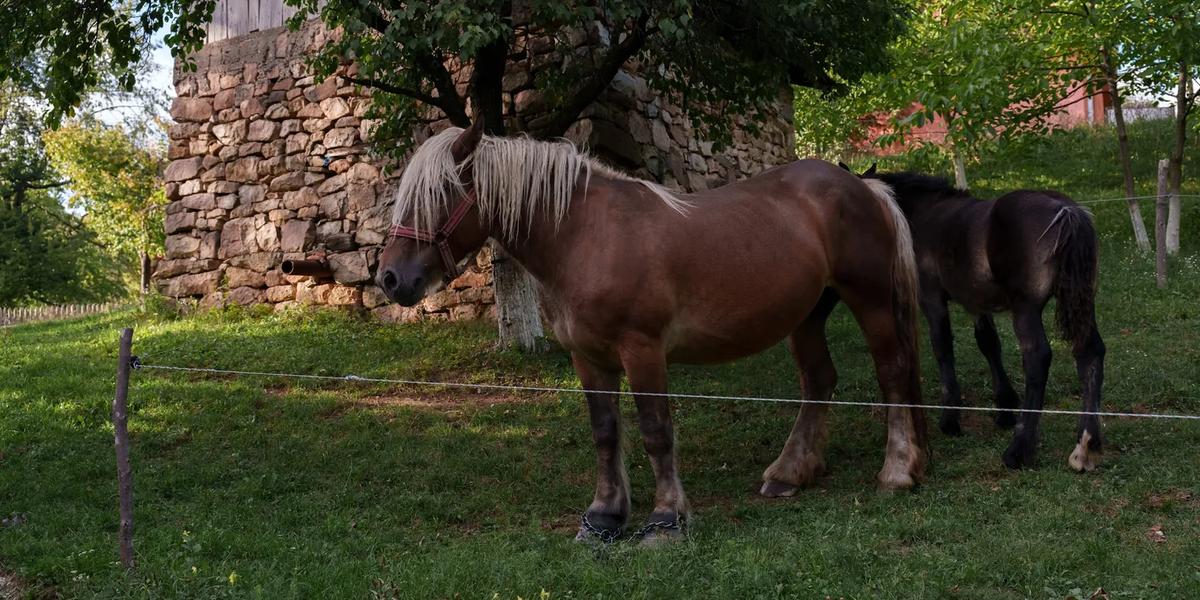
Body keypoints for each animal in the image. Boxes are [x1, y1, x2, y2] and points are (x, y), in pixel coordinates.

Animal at [375, 120, 929, 544]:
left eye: (442, 193)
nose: (391, 278)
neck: (583, 237)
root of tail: (864, 186)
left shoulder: (642, 351)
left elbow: (656, 432)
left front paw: (665, 519)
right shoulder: (588, 357)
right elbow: (605, 433)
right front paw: (603, 516)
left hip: (870, 301)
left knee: (891, 371)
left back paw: (897, 471)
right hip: (807, 314)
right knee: (819, 381)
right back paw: (789, 474)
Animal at [851, 167, 1104, 472]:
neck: (926, 213)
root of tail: (1066, 211)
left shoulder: (933, 301)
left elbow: (943, 349)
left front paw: (951, 418)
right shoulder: (977, 304)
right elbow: (989, 344)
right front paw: (1004, 408)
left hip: (1026, 309)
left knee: (1037, 358)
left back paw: (1018, 450)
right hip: (1083, 303)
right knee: (1090, 353)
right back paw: (1085, 446)